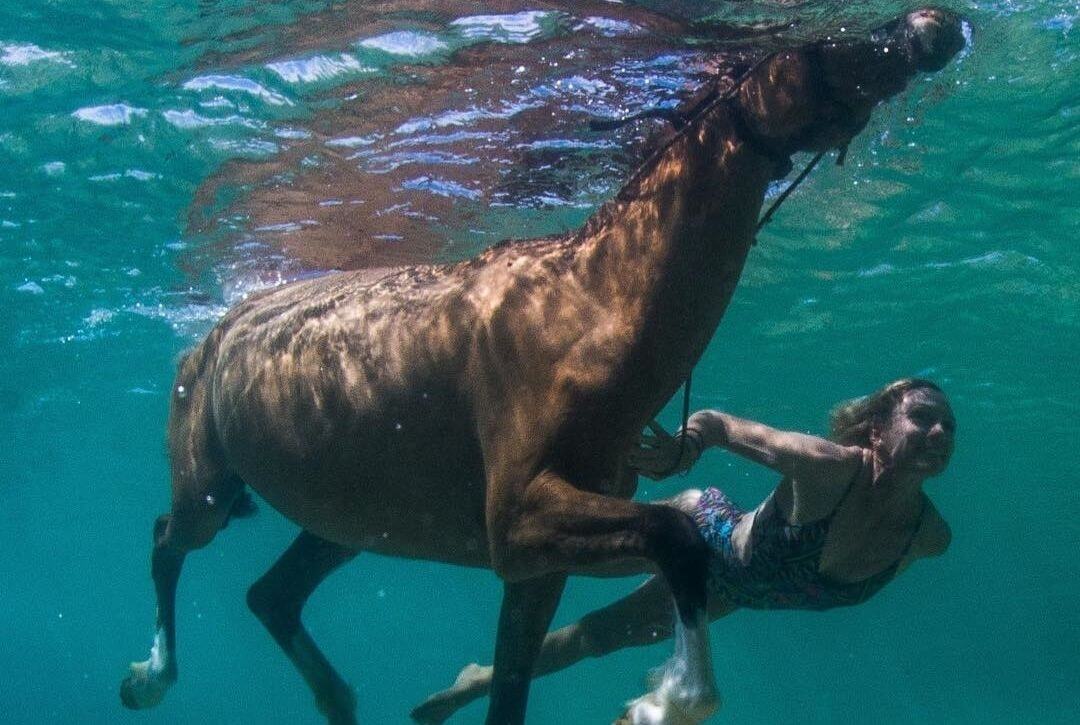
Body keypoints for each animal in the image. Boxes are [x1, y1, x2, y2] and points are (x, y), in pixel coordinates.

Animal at [120, 8, 963, 724]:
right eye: (824, 53)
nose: (934, 26)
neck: (586, 309)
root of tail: (211, 332)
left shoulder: (533, 566)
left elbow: (515, 689)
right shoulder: (520, 518)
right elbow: (678, 535)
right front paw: (674, 693)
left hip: (351, 518)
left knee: (272, 595)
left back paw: (337, 698)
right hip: (208, 485)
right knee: (170, 537)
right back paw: (150, 673)